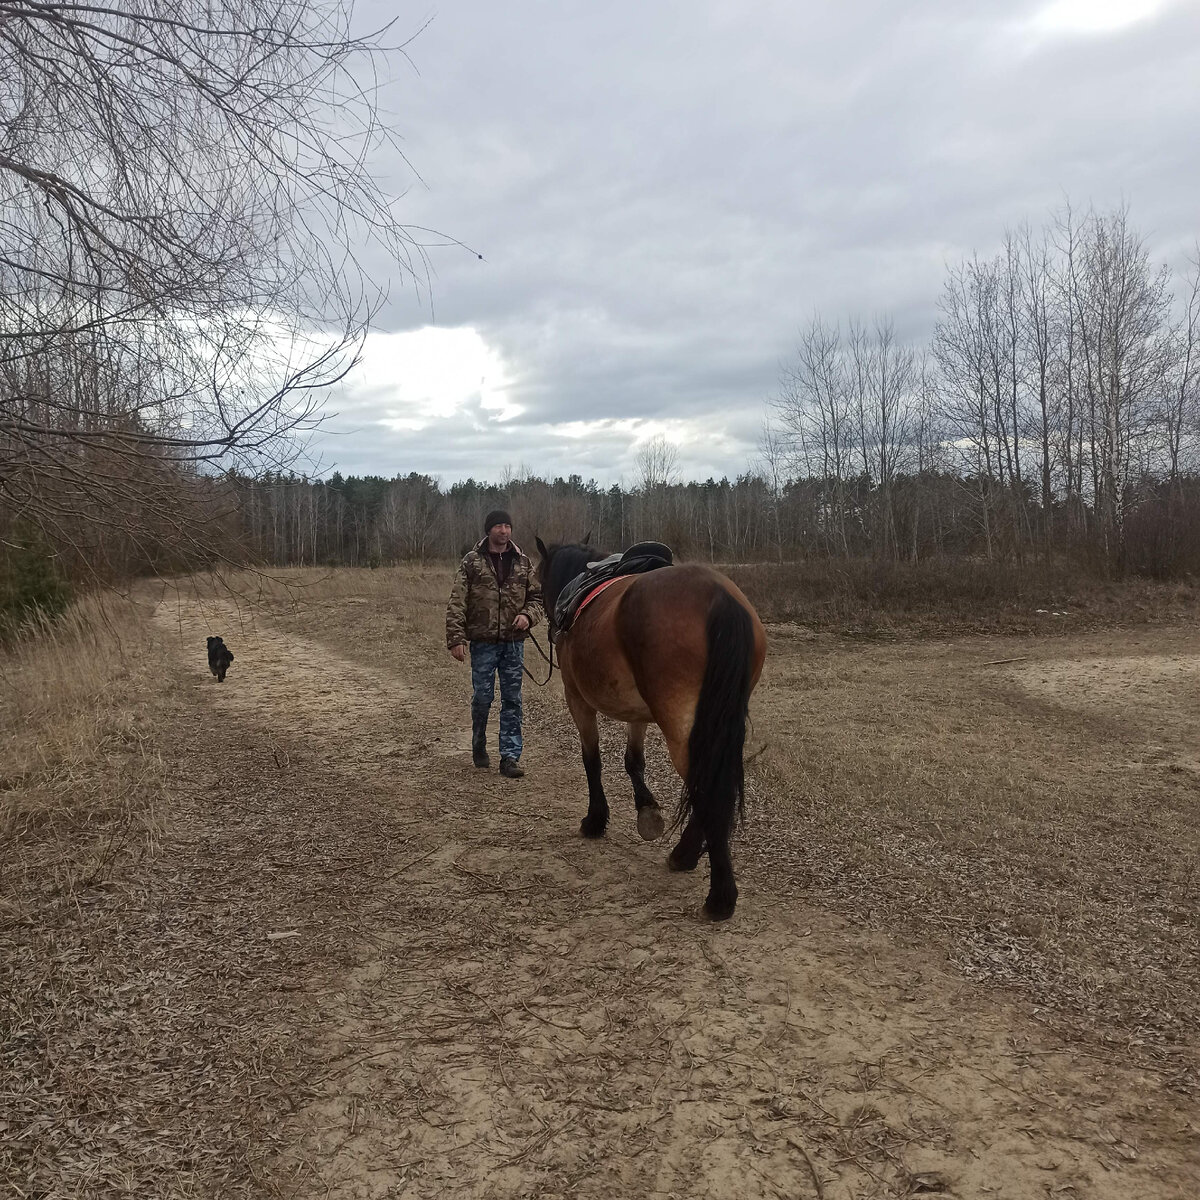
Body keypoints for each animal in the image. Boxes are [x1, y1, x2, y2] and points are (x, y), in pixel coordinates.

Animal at [537, 540, 768, 921]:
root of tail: (719, 595)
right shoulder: (639, 712)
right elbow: (633, 761)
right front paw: (647, 811)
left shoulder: (577, 700)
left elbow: (592, 760)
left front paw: (595, 819)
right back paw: (687, 856)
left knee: (706, 789)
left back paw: (718, 893)